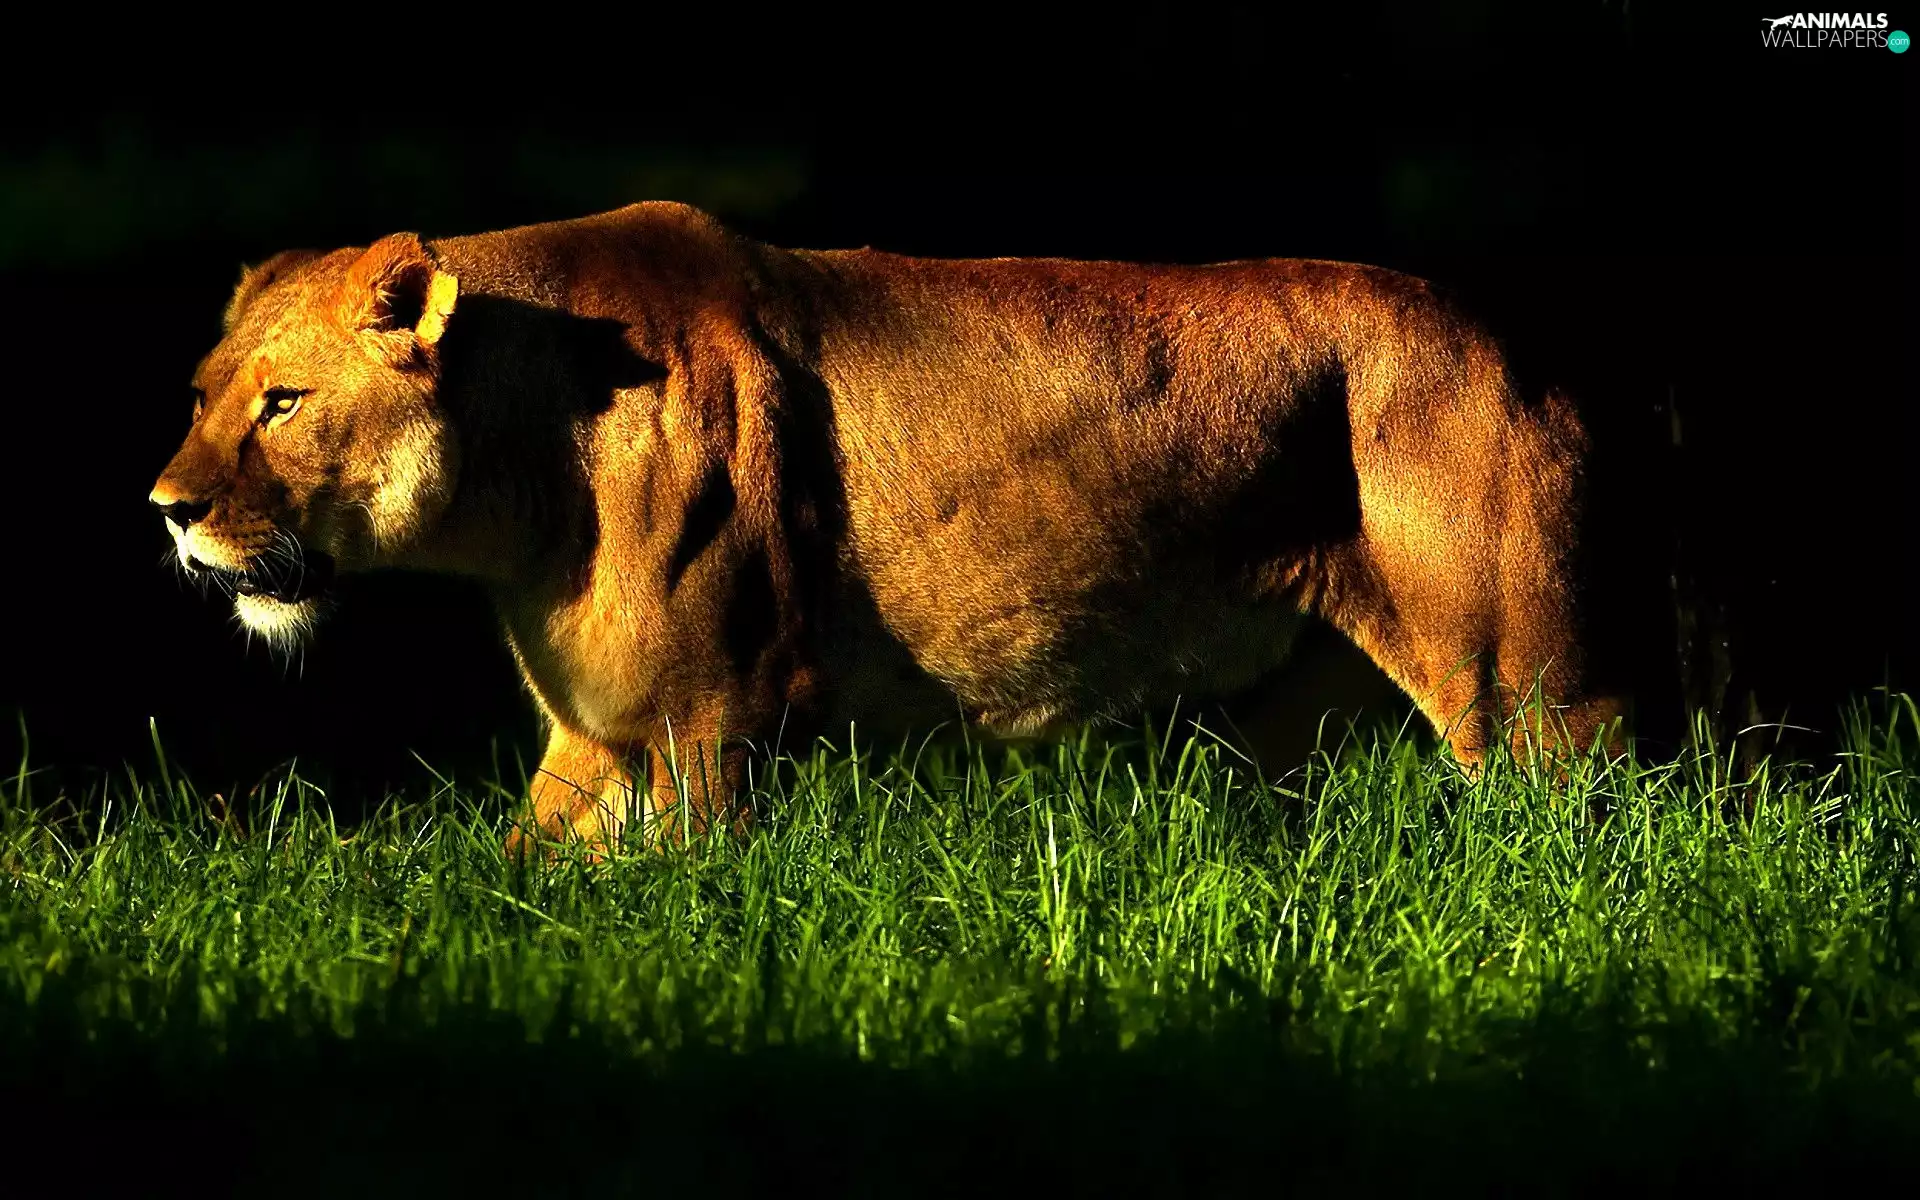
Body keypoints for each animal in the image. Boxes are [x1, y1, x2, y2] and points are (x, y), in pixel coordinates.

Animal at [150, 201, 1625, 849]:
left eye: (283, 404)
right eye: (203, 395)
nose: (167, 513)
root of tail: (1511, 341)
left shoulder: (711, 717)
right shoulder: (597, 727)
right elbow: (514, 882)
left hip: (1525, 686)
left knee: (1598, 825)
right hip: (1299, 722)